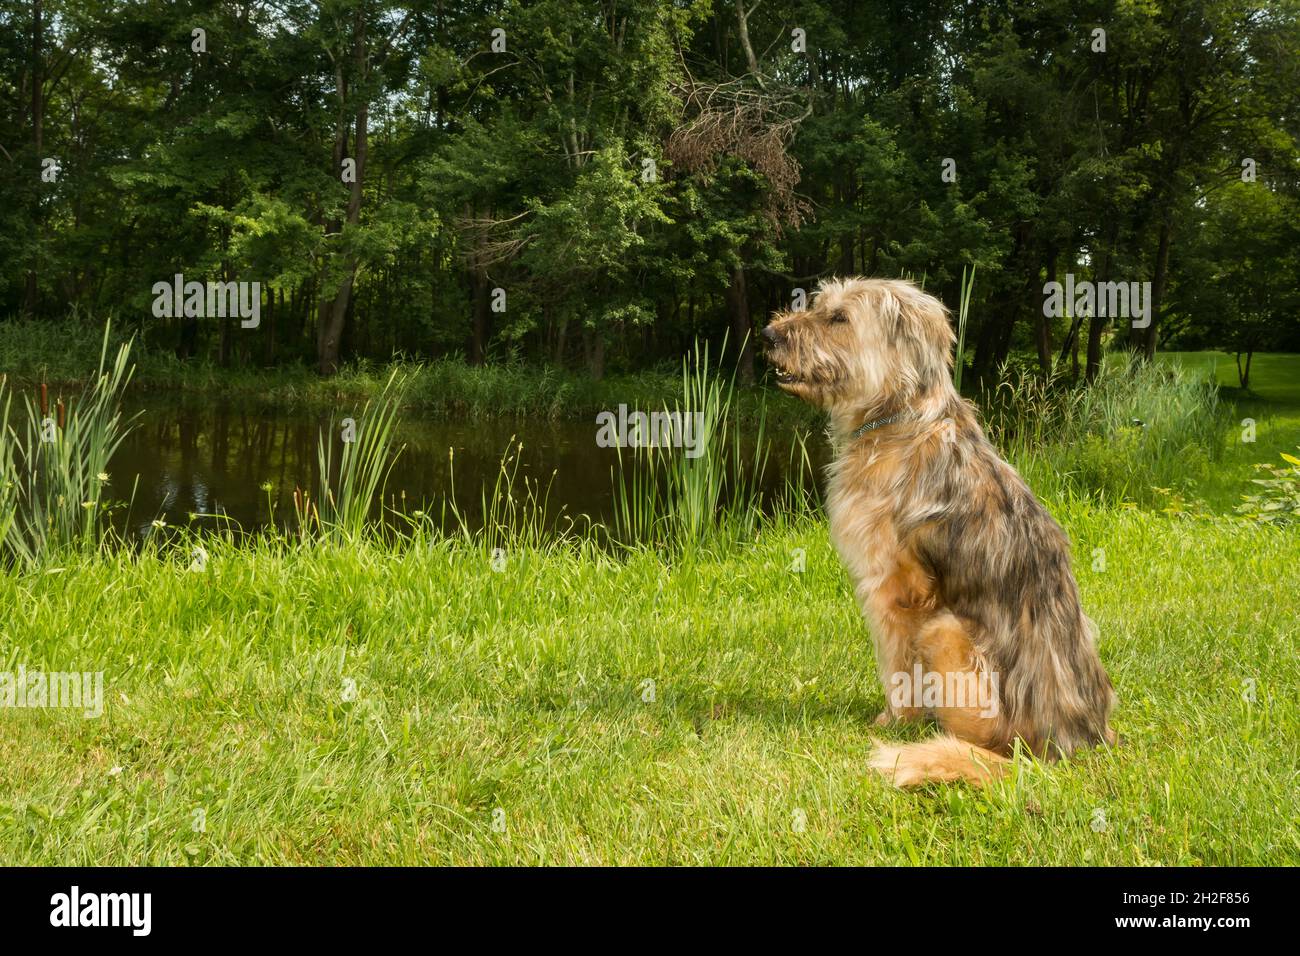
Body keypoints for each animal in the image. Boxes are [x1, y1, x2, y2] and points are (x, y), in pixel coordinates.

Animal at [759, 280, 1118, 790]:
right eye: (817, 305)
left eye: (839, 318)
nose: (769, 334)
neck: (900, 413)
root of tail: (1056, 748)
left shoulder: (895, 593)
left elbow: (896, 668)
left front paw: (893, 722)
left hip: (944, 631)